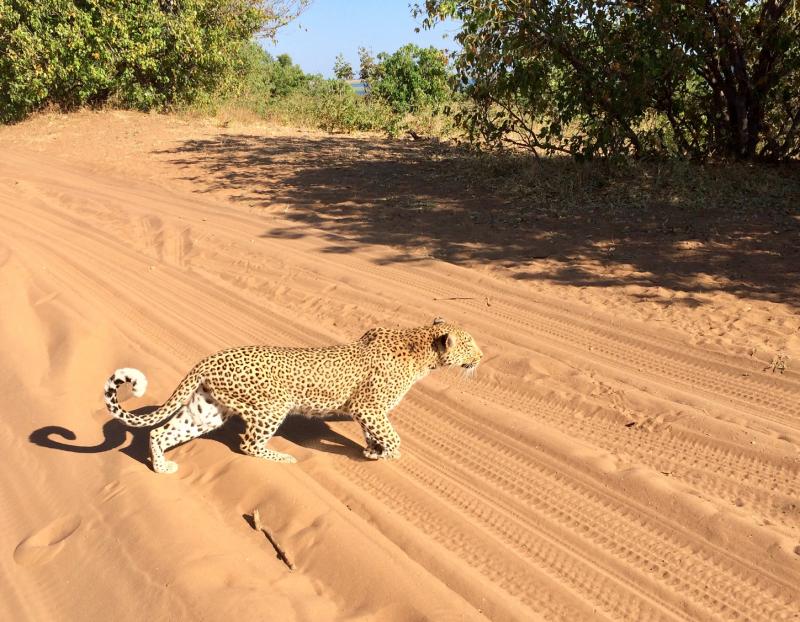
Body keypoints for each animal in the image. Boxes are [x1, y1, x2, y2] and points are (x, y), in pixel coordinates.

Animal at [103, 320, 484, 476]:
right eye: (471, 345)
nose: (482, 357)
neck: (422, 350)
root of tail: (210, 358)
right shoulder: (368, 407)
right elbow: (393, 436)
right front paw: (385, 455)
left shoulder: (369, 412)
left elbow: (375, 434)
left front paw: (372, 451)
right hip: (272, 406)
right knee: (247, 444)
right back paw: (283, 458)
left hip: (208, 410)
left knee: (159, 432)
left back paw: (161, 467)